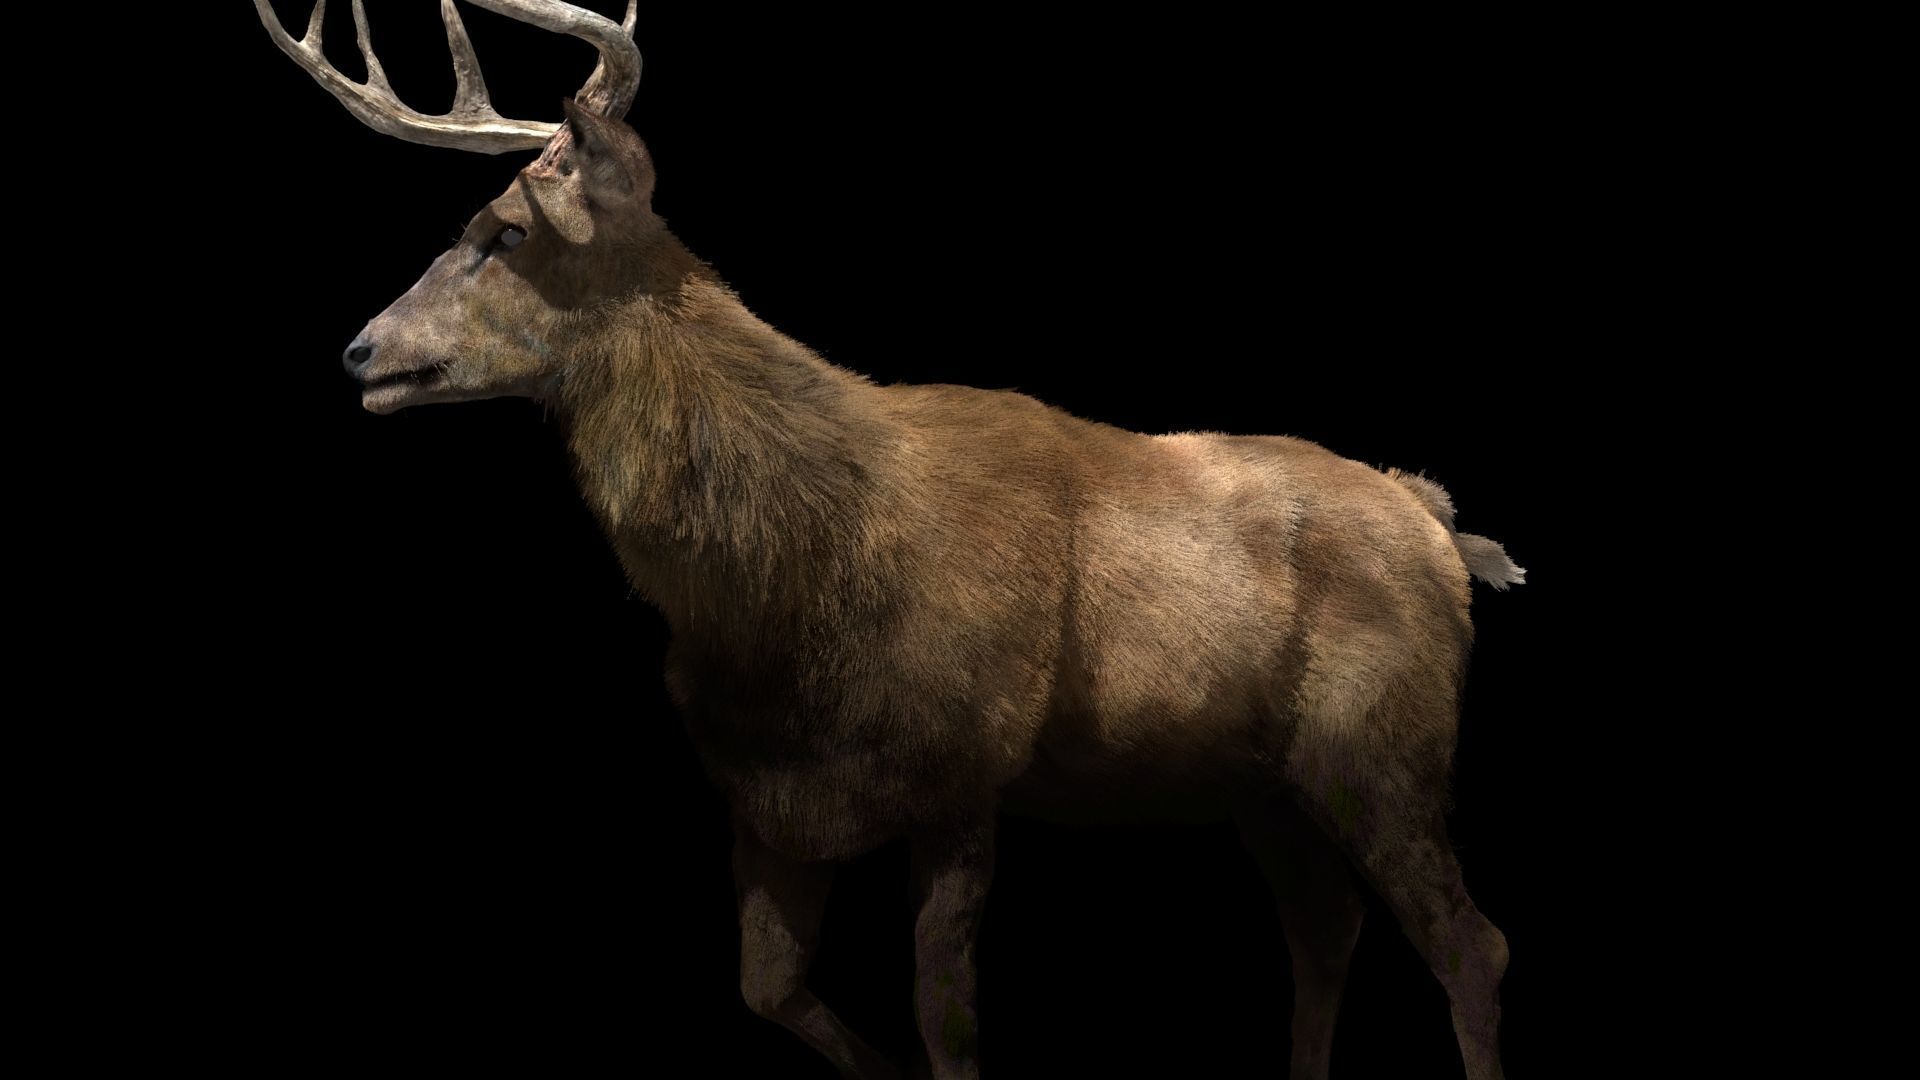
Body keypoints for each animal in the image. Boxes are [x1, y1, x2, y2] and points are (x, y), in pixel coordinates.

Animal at [256, 4, 1525, 1077]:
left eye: (508, 231)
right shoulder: (762, 791)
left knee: (1469, 941)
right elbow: (769, 989)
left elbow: (944, 1017)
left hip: (1385, 742)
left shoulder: (964, 766)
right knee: (1327, 928)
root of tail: (1439, 523)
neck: (786, 590)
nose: (360, 350)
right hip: (1264, 777)